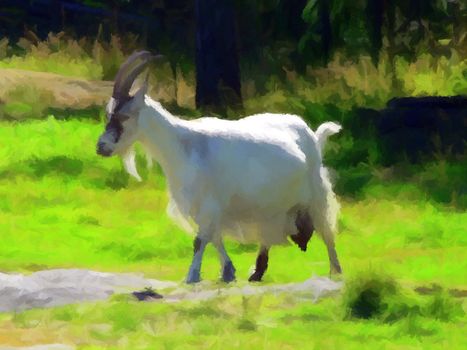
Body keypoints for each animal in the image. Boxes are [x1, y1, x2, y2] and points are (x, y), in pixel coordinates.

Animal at [96, 50, 344, 284]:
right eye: (108, 114)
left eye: (124, 116)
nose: (101, 147)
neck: (183, 145)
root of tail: (312, 135)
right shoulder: (205, 206)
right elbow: (214, 237)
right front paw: (228, 271)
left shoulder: (209, 203)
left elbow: (200, 240)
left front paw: (192, 276)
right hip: (274, 206)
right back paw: (257, 272)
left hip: (316, 193)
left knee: (327, 231)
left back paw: (336, 272)